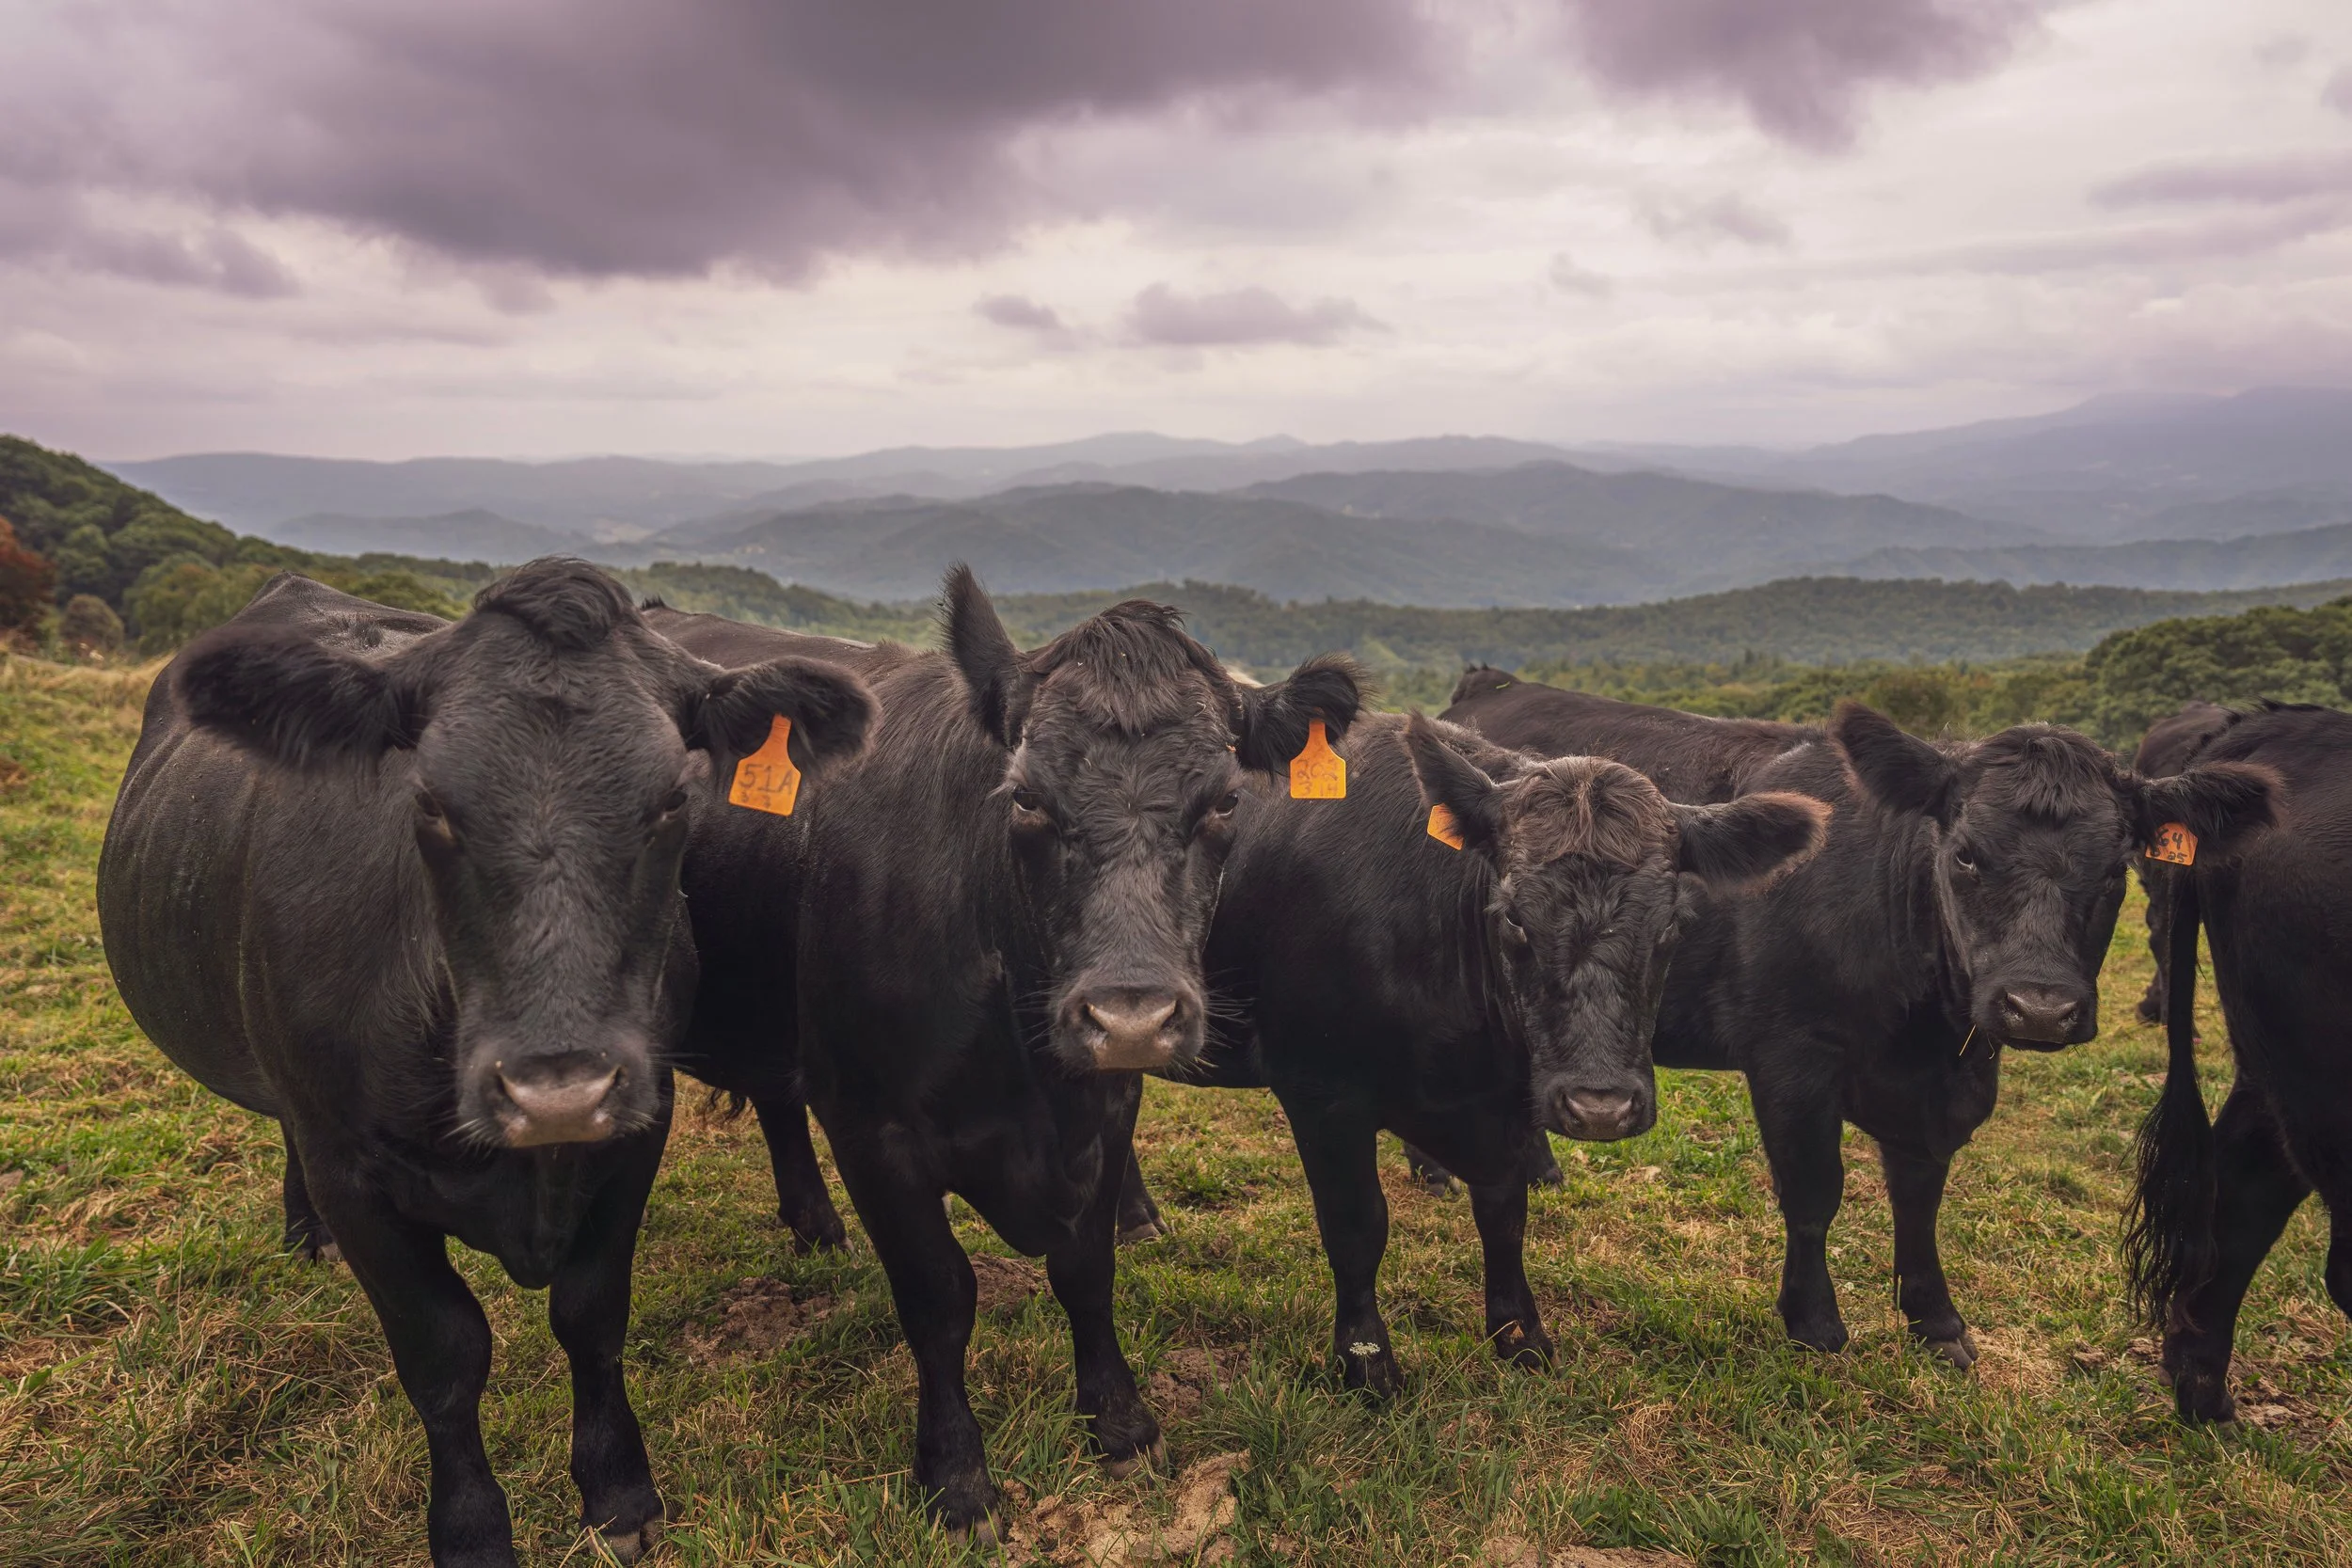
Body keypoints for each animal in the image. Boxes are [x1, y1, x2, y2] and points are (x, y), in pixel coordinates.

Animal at [96, 563, 874, 1568]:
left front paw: (619, 1492)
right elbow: (444, 1353)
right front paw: (470, 1528)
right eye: (428, 800)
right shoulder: (353, 1170)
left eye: (675, 798)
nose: (558, 1089)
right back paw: (304, 1231)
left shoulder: (636, 1128)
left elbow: (591, 1312)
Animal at [765, 568, 1361, 1533]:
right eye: (1026, 798)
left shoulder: (1105, 1108)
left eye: (1226, 800)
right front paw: (957, 1473)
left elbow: (1086, 1268)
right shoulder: (865, 1121)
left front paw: (1119, 1422)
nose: (1130, 1016)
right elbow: (938, 1294)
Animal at [1192, 712, 1829, 1393]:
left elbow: (1504, 1213)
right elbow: (1357, 1225)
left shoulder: (1510, 1102)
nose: (1600, 1107)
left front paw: (1520, 1334)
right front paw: (1367, 1361)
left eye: (1672, 924)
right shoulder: (1320, 1091)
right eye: (1515, 917)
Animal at [1438, 667, 2276, 1366]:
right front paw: (1814, 1321)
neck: (1922, 1035)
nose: (2039, 1006)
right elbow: (1815, 1192)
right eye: (1965, 854)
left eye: (2116, 870)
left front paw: (1936, 1321)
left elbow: (1920, 1196)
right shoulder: (1791, 1057)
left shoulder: (1945, 1084)